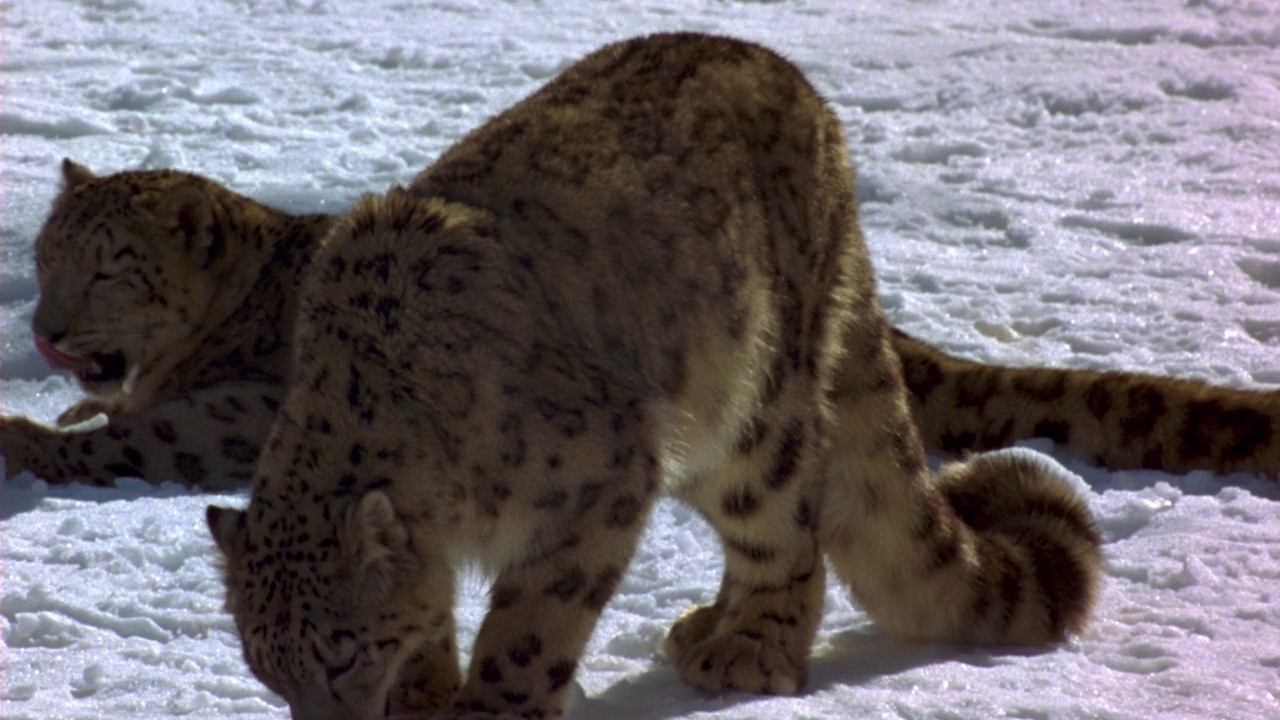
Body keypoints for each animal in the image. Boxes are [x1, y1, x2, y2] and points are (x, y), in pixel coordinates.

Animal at [204, 35, 1105, 717]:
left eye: (343, 651)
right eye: (264, 668)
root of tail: (807, 96)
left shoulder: (600, 479)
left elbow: (533, 626)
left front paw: (493, 706)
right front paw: (425, 694)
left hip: (752, 411)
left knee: (789, 528)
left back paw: (749, 649)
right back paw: (708, 625)